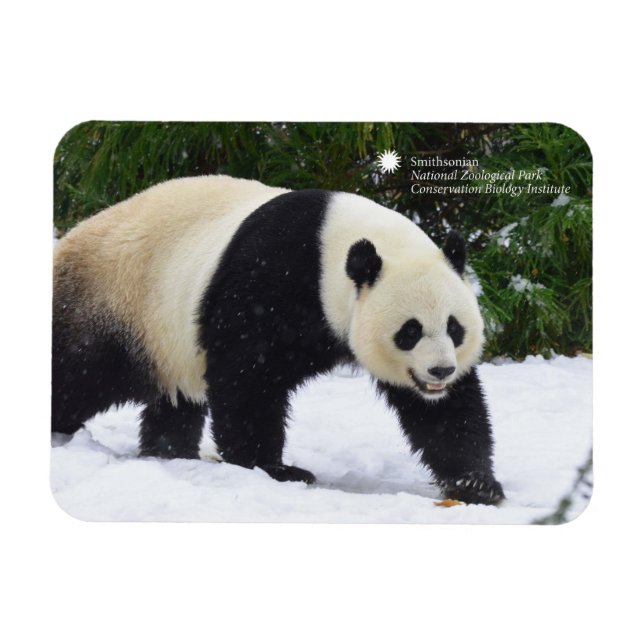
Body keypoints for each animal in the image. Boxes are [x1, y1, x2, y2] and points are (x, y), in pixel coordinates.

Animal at [53, 175, 504, 505]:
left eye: (454, 328)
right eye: (410, 331)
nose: (440, 371)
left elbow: (446, 413)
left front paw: (475, 484)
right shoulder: (270, 277)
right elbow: (248, 377)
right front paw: (273, 469)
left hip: (166, 338)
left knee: (174, 402)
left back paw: (169, 452)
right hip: (116, 302)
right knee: (79, 371)